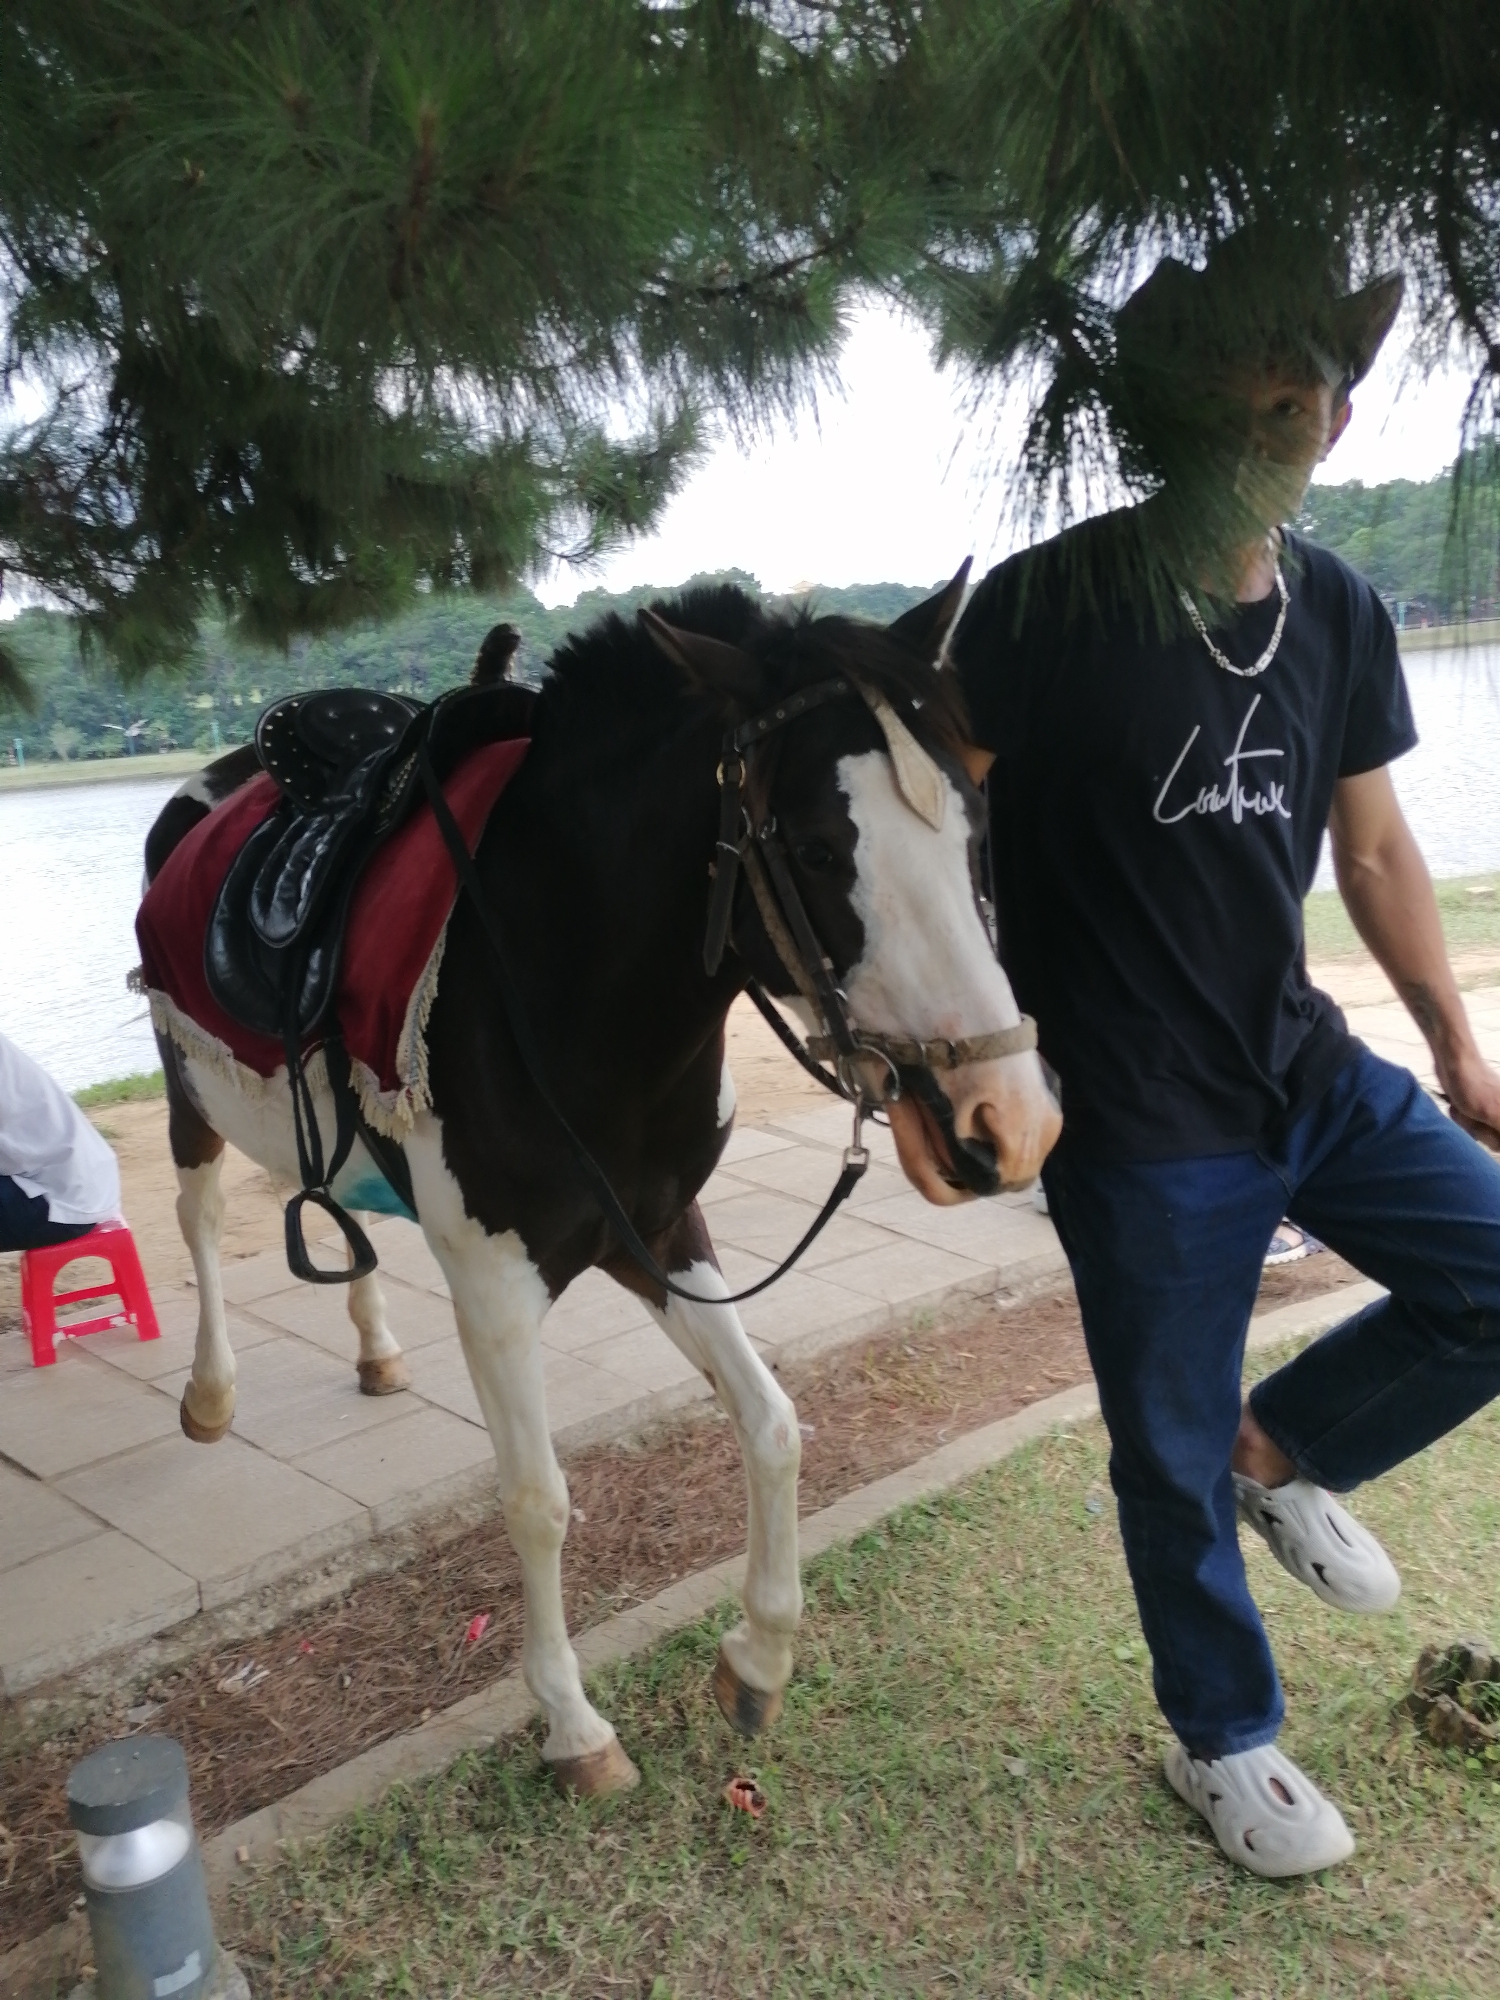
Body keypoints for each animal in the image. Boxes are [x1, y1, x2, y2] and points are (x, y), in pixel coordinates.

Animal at [137, 572, 1061, 1795]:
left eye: (975, 826)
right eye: (819, 849)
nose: (1009, 1119)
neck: (553, 968)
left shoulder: (658, 1230)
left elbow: (772, 1425)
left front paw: (758, 1654)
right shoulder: (494, 1280)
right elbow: (538, 1500)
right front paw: (573, 1725)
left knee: (339, 1214)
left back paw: (377, 1348)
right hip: (188, 1089)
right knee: (196, 1215)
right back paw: (210, 1393)